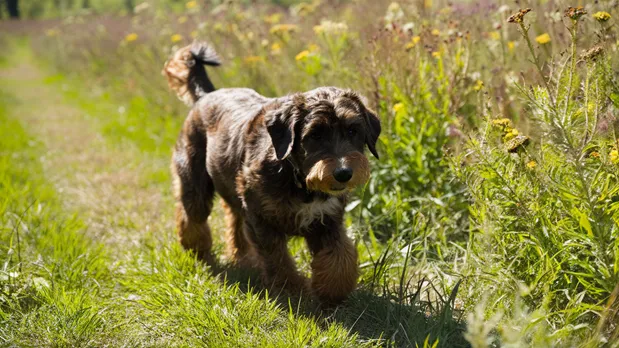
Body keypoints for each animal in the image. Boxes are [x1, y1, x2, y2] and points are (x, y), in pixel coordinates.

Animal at [162, 41, 380, 302]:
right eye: (315, 134)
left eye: (353, 130)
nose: (343, 172)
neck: (297, 178)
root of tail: (206, 96)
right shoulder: (262, 220)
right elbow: (278, 259)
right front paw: (291, 291)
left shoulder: (328, 220)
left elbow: (339, 255)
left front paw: (332, 291)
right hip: (194, 181)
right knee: (192, 216)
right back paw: (197, 249)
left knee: (233, 220)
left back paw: (240, 258)